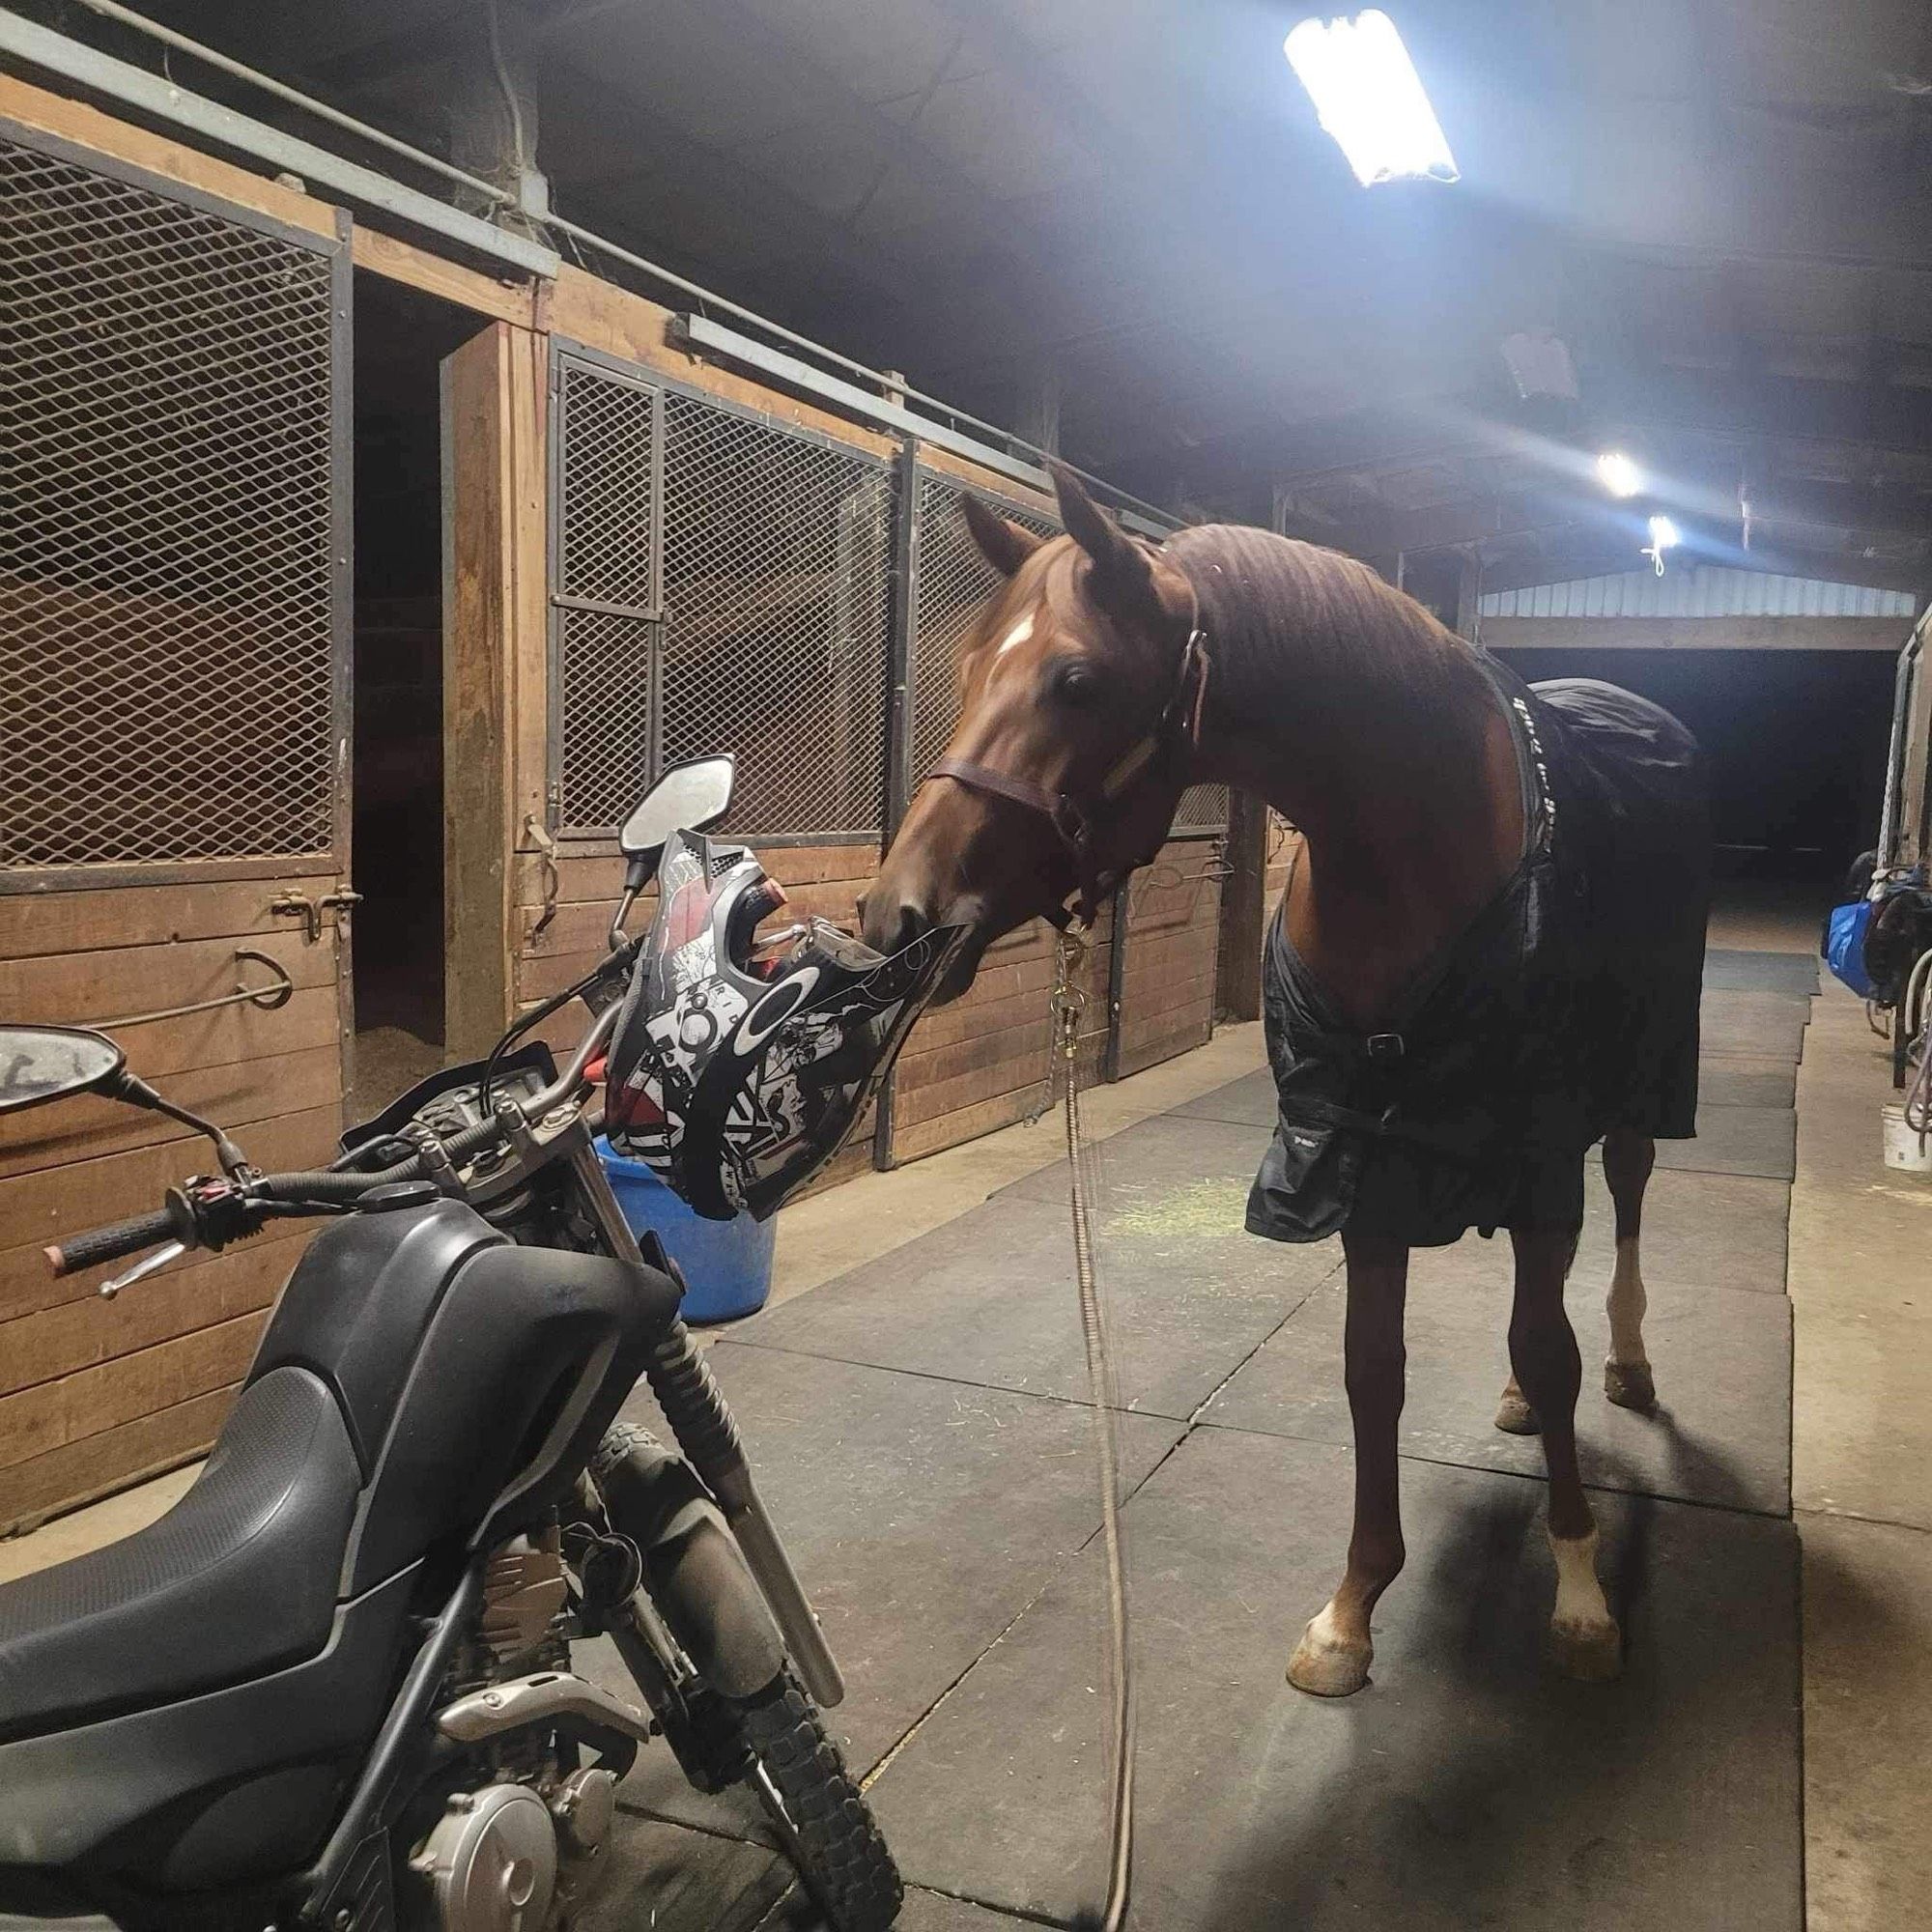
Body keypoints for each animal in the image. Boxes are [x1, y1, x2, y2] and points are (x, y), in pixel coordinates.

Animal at [862, 460, 1708, 1700]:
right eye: (969, 669)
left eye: (1074, 679)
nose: (895, 916)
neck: (1420, 848)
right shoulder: (1357, 1151)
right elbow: (1373, 1371)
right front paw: (1350, 1609)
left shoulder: (1540, 1145)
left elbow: (1551, 1355)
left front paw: (1580, 1592)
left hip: (1633, 1092)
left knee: (1627, 1211)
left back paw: (1634, 1364)